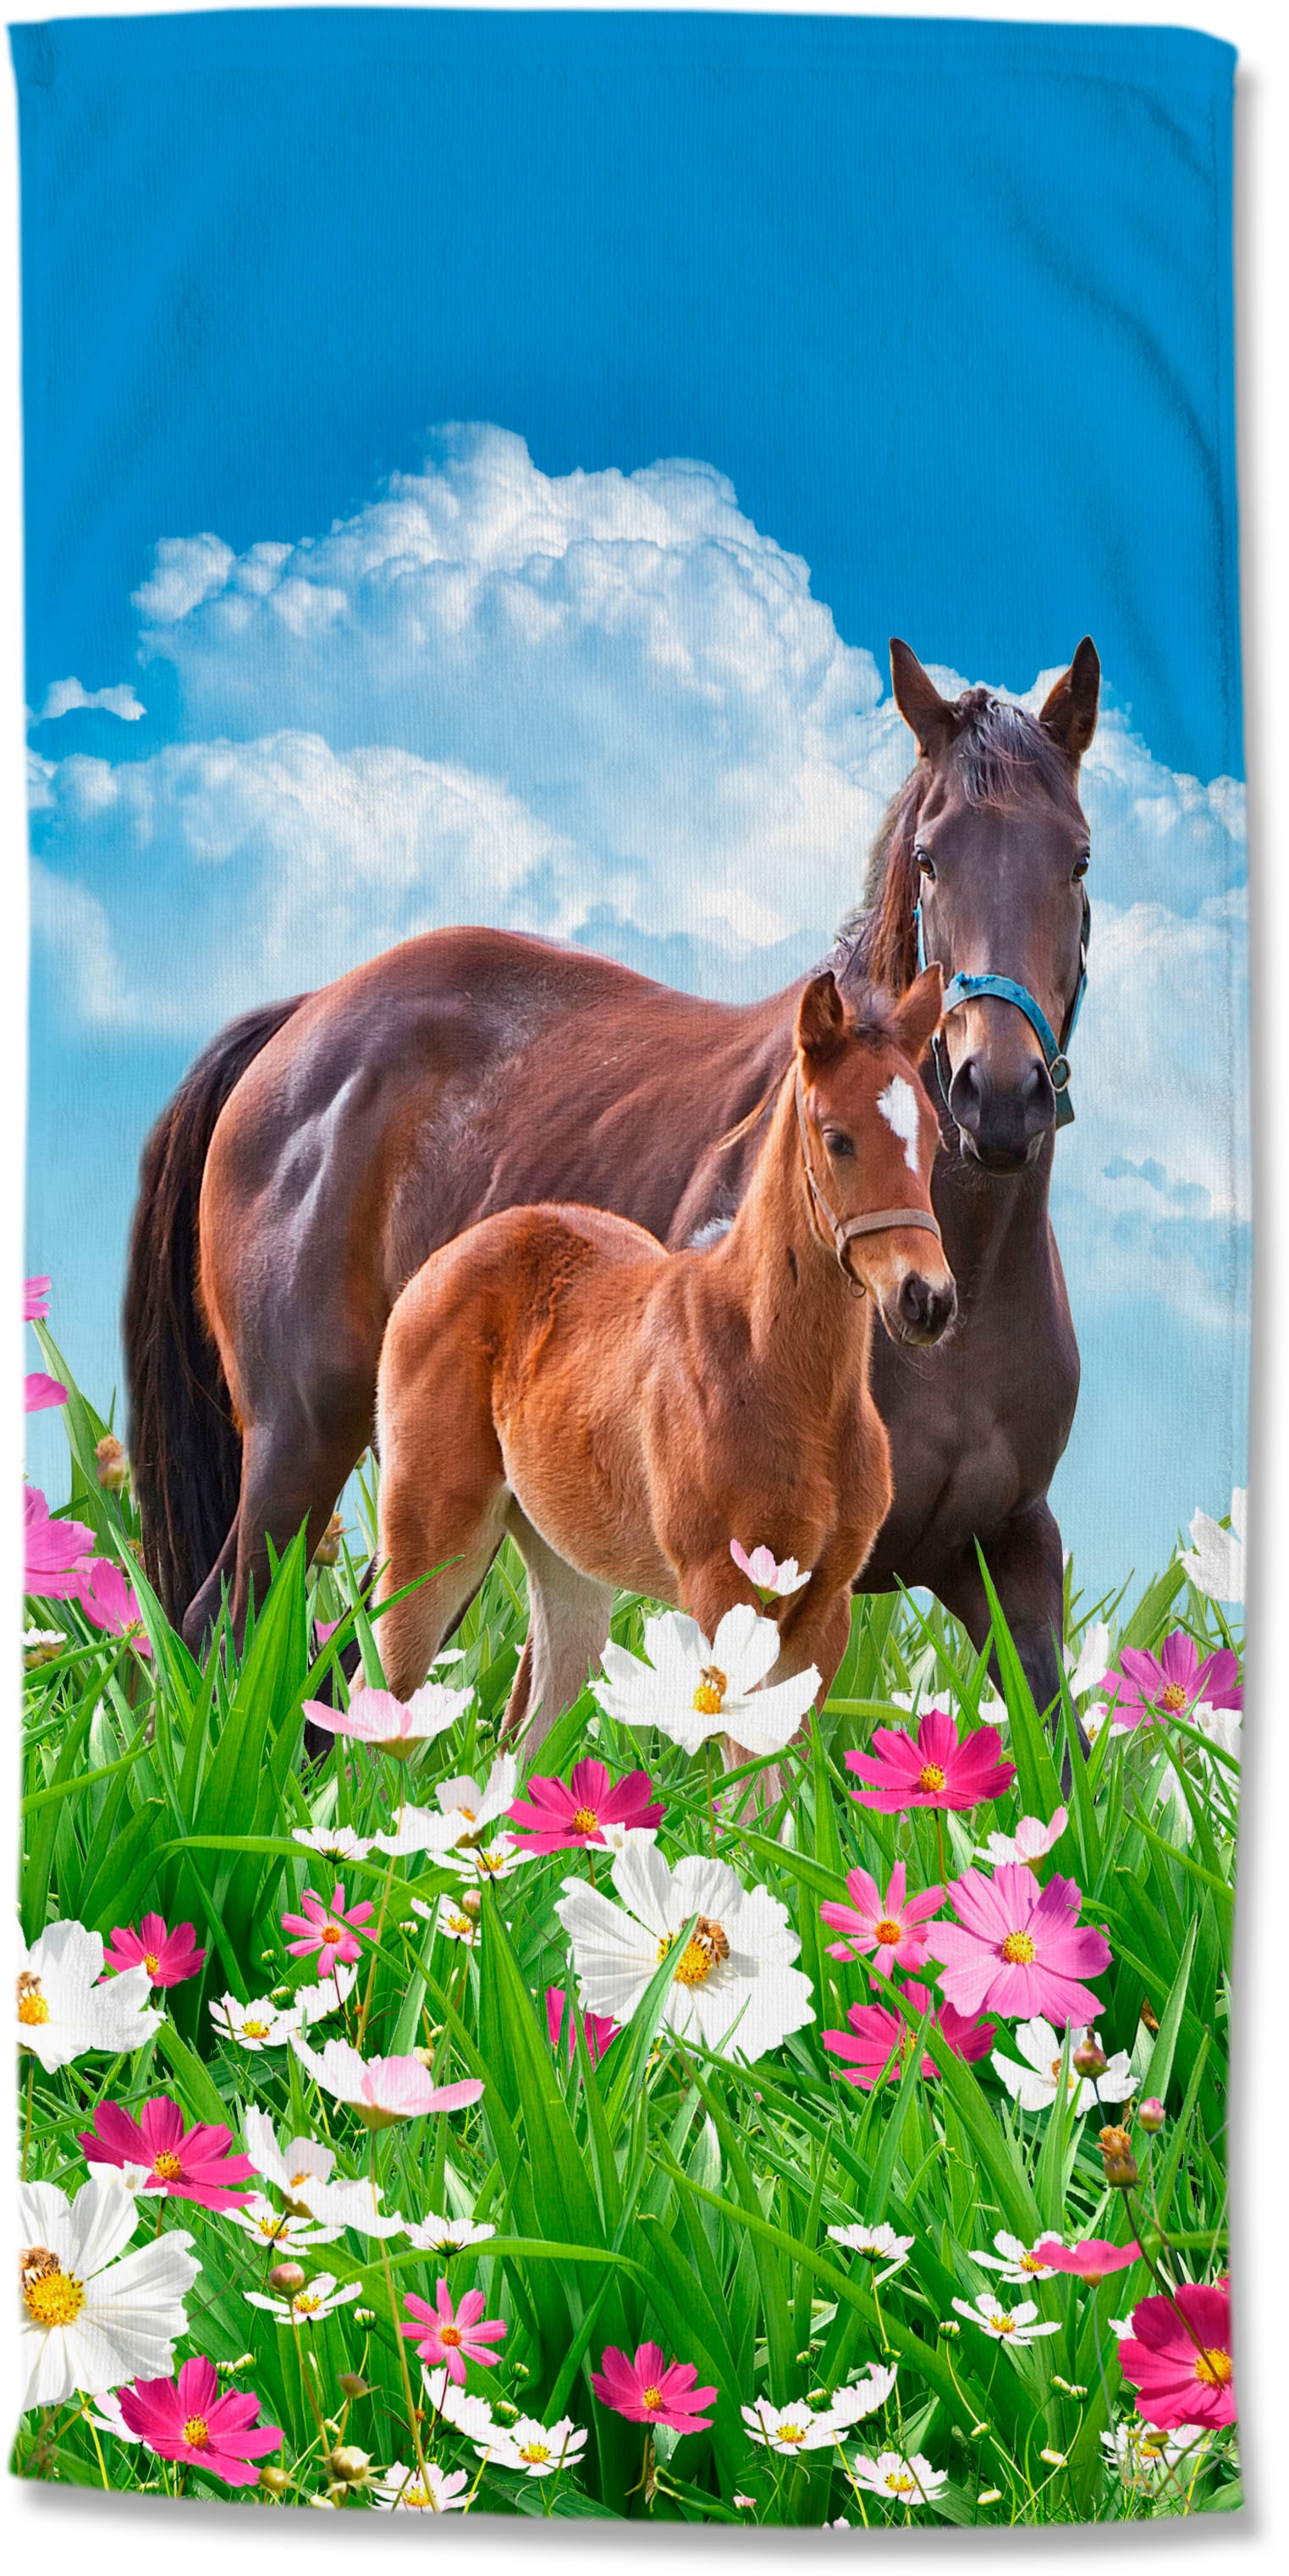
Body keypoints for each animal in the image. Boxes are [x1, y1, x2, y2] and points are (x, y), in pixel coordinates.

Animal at [372, 966, 953, 1758]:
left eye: (933, 1136)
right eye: (837, 1138)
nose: (926, 1299)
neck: (782, 1381)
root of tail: (437, 1265)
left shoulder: (823, 1608)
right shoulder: (722, 1589)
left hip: (565, 1564)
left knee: (534, 1735)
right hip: (432, 1535)